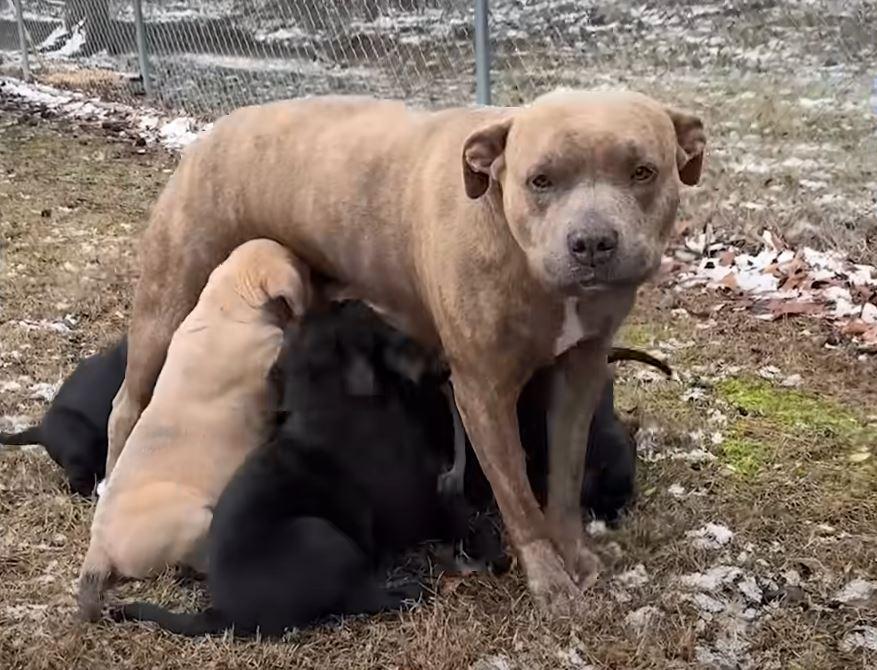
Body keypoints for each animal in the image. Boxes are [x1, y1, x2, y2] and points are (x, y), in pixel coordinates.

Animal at [106, 88, 704, 616]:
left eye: (643, 172)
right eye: (541, 180)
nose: (592, 243)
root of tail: (214, 131)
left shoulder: (579, 373)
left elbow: (563, 479)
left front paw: (574, 554)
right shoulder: (483, 391)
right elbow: (518, 498)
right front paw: (549, 583)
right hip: (168, 298)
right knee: (128, 404)